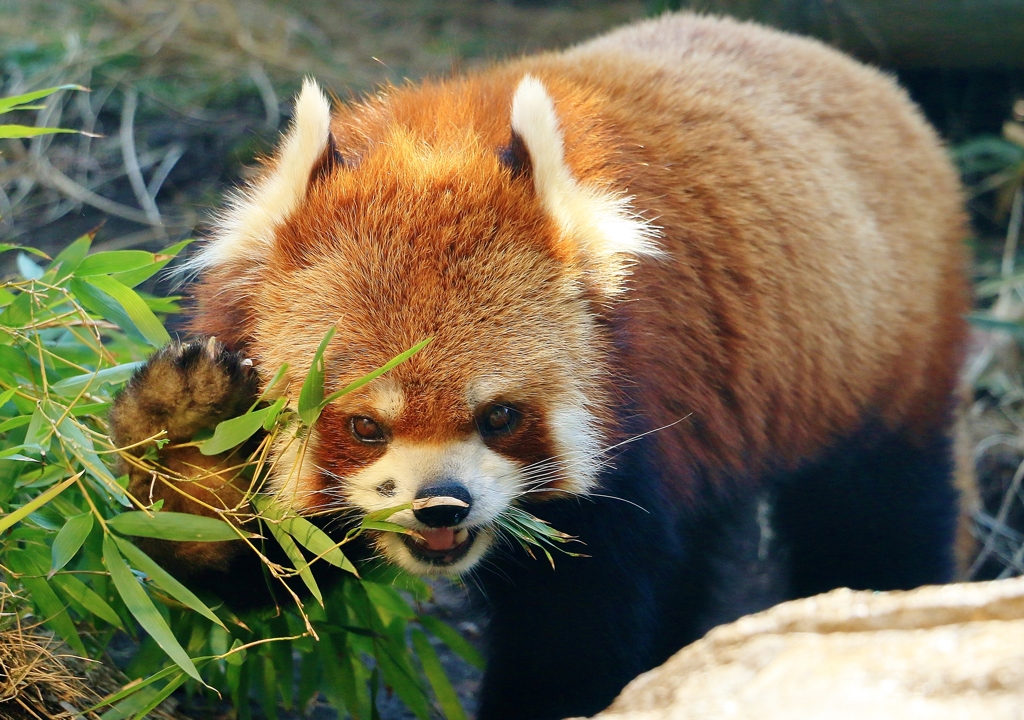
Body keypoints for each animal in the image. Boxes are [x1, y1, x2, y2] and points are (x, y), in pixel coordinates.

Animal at [108, 11, 970, 720]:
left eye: (499, 416)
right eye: (363, 425)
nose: (441, 506)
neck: (435, 143)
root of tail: (851, 68)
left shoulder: (637, 400)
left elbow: (581, 621)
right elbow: (257, 567)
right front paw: (188, 435)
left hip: (886, 355)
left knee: (878, 516)